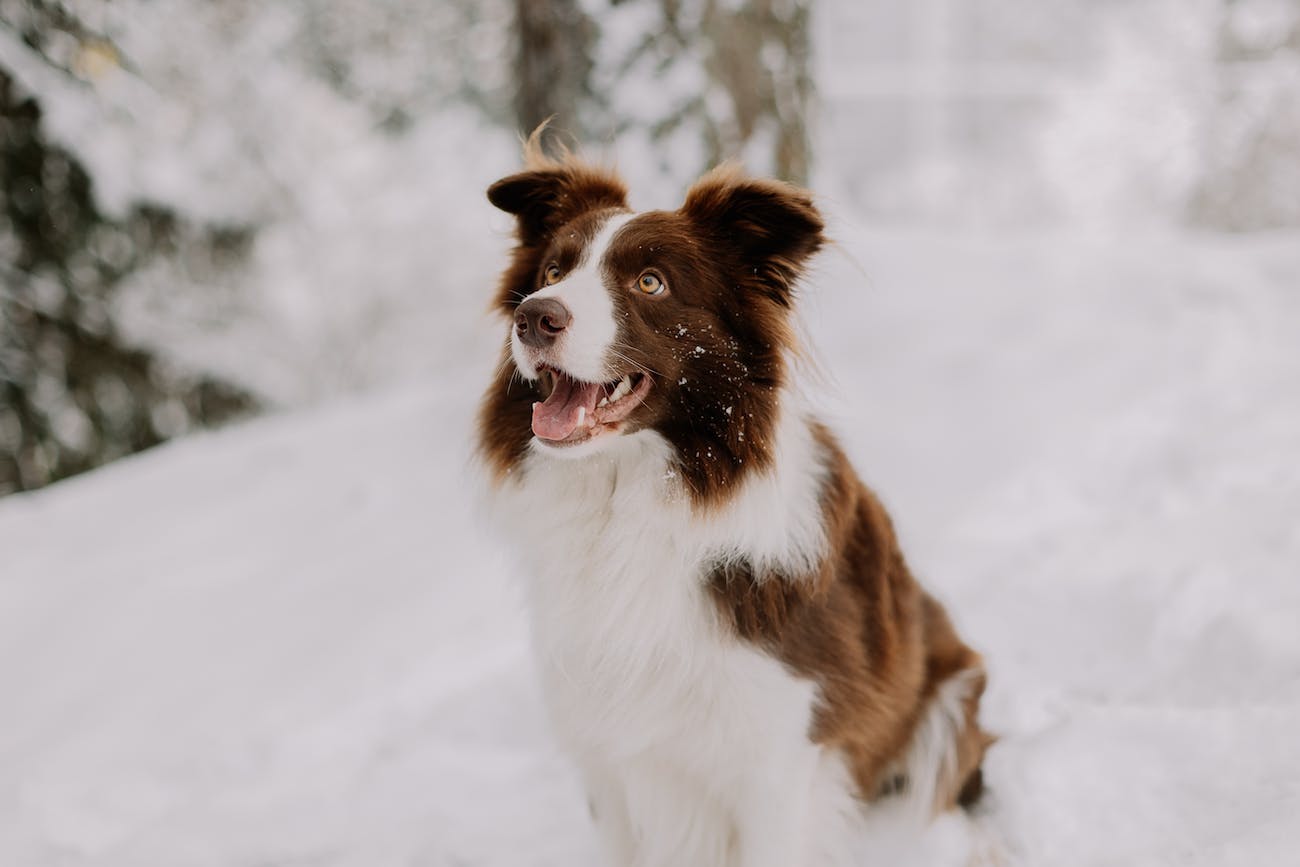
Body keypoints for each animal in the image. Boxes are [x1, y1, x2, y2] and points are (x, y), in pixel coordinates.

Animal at [478, 139, 993, 863]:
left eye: (650, 283)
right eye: (554, 268)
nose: (534, 316)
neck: (627, 505)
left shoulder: (778, 755)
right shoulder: (604, 751)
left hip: (948, 705)